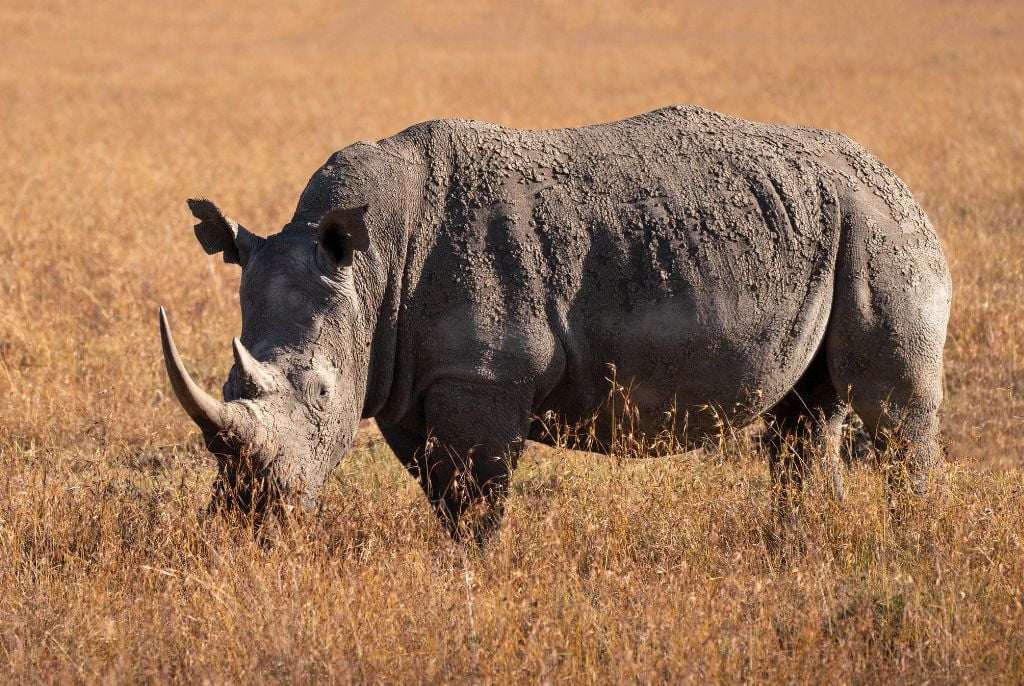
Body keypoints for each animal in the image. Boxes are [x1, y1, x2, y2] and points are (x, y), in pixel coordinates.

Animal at [160, 105, 951, 539]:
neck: (372, 263)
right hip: (830, 223)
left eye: (322, 394)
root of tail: (895, 178)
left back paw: (907, 540)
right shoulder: (403, 372)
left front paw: (473, 578)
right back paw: (805, 544)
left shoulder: (482, 375)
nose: (251, 514)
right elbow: (441, 491)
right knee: (806, 413)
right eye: (228, 383)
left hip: (880, 227)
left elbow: (475, 497)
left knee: (893, 406)